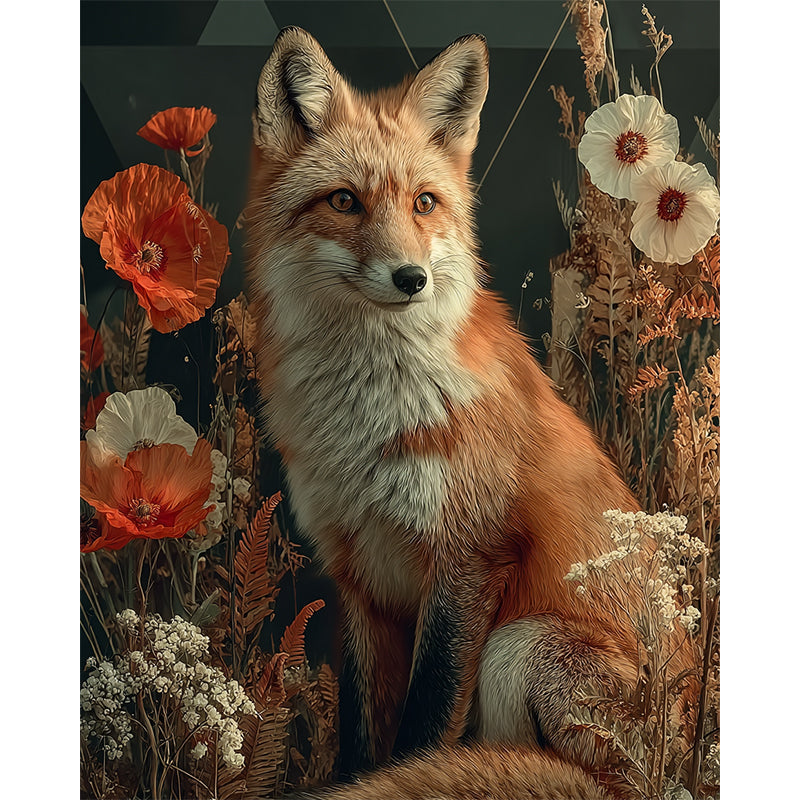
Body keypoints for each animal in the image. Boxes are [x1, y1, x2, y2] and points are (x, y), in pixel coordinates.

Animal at [245, 27, 695, 800]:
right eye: (344, 201)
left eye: (425, 203)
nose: (411, 278)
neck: (365, 423)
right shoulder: (358, 574)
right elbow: (363, 729)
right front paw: (356, 774)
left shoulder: (468, 557)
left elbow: (423, 728)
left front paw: (398, 775)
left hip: (521, 645)